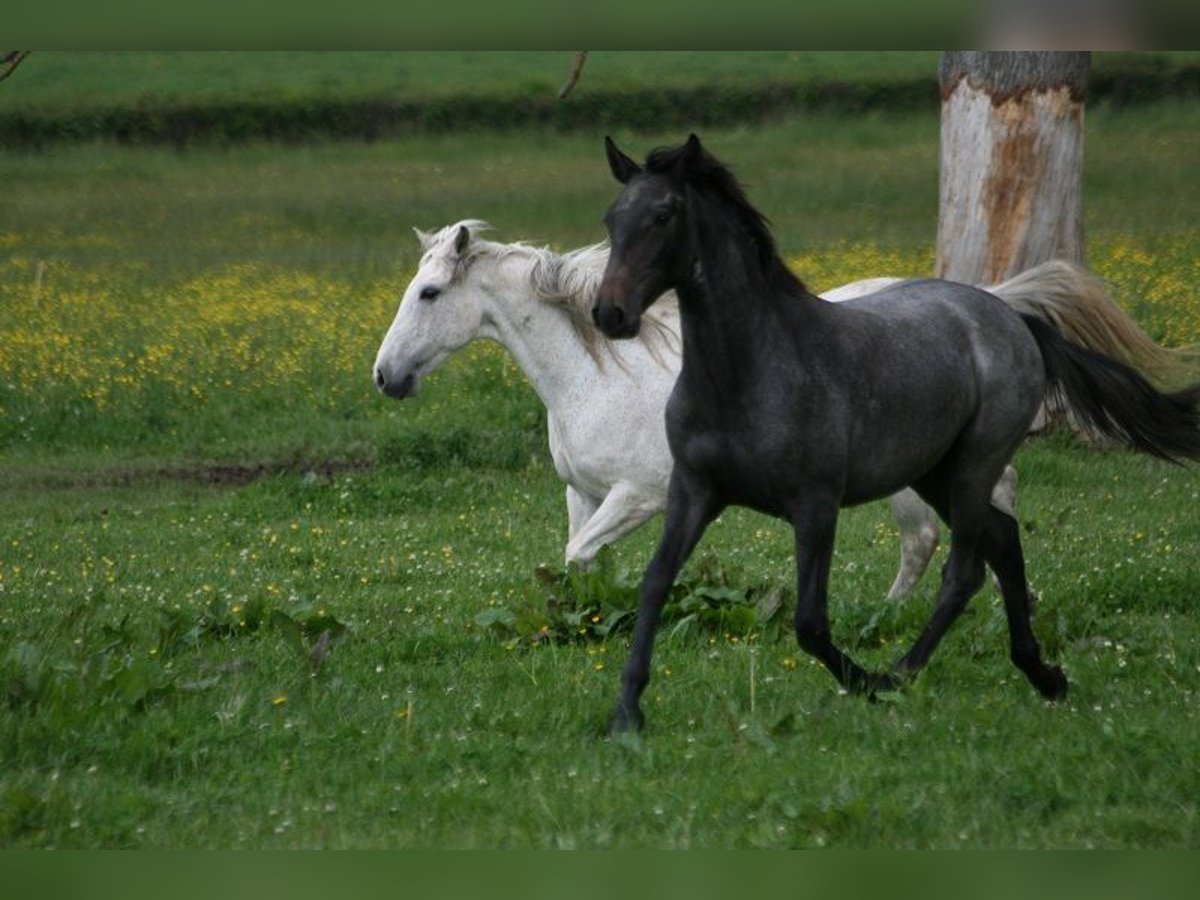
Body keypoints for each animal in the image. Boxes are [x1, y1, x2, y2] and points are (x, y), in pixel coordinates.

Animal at [372, 220, 1190, 600]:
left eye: (430, 293)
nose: (384, 377)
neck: (594, 375)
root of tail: (987, 306)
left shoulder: (643, 495)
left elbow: (580, 555)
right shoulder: (583, 493)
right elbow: (576, 562)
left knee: (943, 526)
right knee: (965, 515)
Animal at [590, 133, 1200, 734]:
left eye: (665, 214)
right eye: (612, 218)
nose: (609, 314)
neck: (747, 373)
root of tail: (1014, 319)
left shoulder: (815, 504)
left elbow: (810, 622)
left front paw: (865, 682)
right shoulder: (693, 491)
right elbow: (654, 583)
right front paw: (627, 713)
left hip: (974, 464)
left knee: (966, 570)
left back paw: (902, 676)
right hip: (935, 472)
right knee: (1002, 541)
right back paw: (1042, 674)